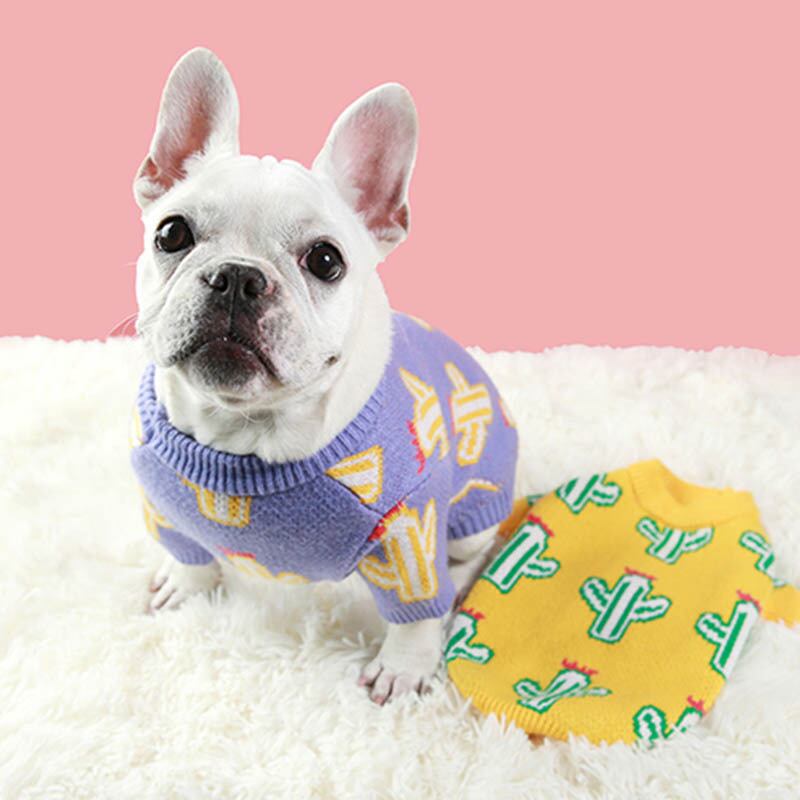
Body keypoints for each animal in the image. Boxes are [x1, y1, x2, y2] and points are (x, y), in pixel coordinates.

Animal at [131, 48, 518, 703]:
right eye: (172, 233)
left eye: (326, 260)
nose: (237, 277)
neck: (244, 434)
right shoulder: (163, 503)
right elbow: (187, 549)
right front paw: (185, 583)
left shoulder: (410, 533)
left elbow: (415, 610)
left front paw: (404, 667)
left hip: (473, 509)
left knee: (467, 552)